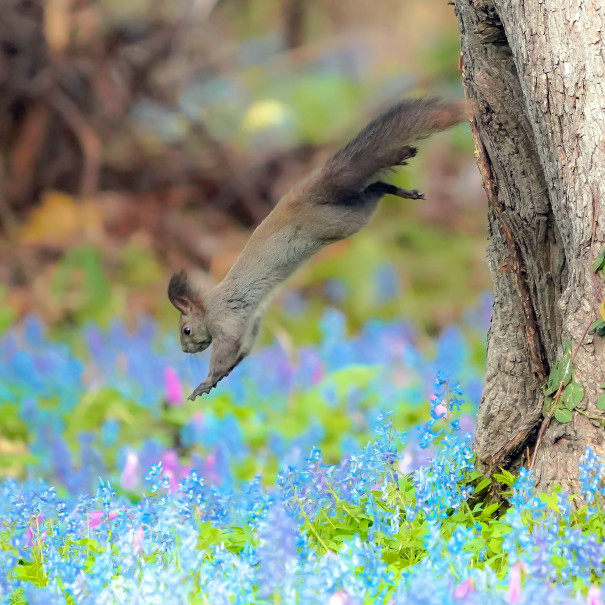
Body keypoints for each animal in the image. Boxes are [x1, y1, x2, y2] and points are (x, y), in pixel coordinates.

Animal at [168, 96, 470, 398]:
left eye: (186, 330)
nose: (184, 350)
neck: (210, 305)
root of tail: (305, 193)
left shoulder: (226, 320)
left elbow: (226, 352)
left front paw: (205, 381)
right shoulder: (250, 323)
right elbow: (242, 352)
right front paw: (216, 381)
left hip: (339, 220)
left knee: (371, 190)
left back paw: (399, 161)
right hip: (347, 212)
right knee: (372, 187)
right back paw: (401, 184)